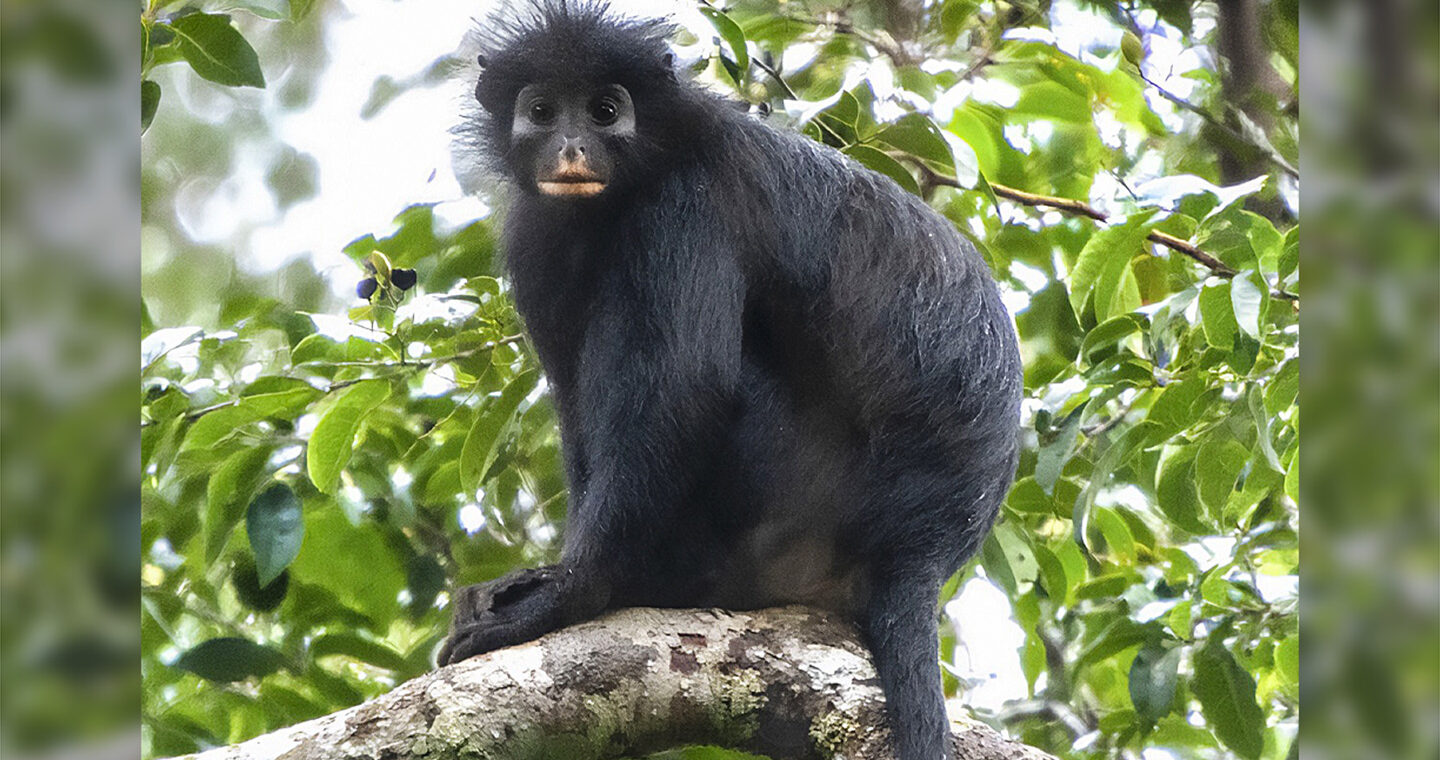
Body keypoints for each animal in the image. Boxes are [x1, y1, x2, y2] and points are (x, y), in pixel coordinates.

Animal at [439, 3, 1022, 758]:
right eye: (541, 111)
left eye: (605, 111)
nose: (570, 148)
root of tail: (923, 547)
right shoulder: (537, 235)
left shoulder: (687, 203)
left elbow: (688, 389)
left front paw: (573, 593)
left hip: (788, 497)